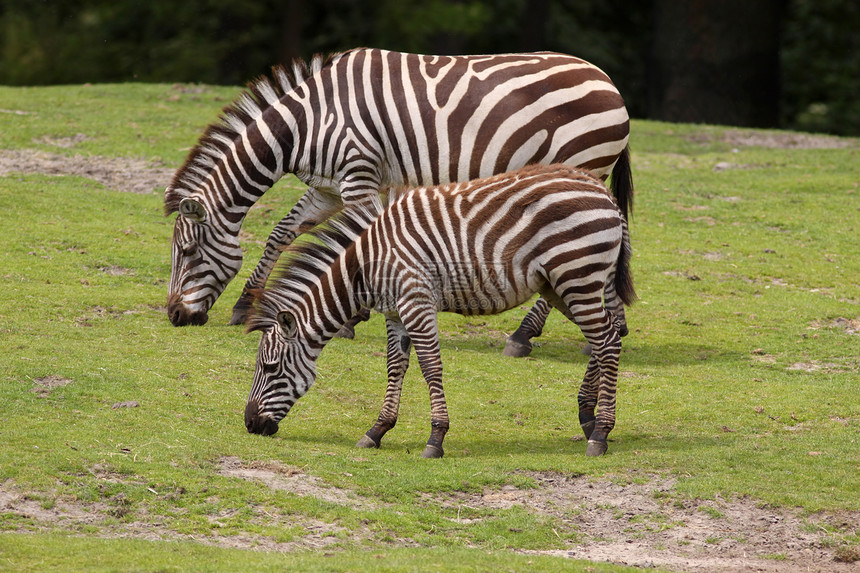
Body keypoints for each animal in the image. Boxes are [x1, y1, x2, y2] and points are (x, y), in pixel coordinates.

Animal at [165, 48, 632, 358]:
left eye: (187, 252)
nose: (174, 316)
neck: (304, 125)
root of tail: (608, 80)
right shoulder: (328, 187)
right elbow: (281, 232)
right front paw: (245, 303)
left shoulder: (358, 177)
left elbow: (360, 245)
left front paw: (351, 319)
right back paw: (611, 325)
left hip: (578, 166)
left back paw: (522, 336)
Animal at [245, 164, 636, 456]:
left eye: (270, 367)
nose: (249, 424)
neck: (368, 266)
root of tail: (602, 191)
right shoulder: (395, 312)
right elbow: (395, 367)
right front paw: (377, 429)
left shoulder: (415, 301)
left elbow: (430, 367)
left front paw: (436, 438)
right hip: (562, 287)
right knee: (608, 335)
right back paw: (587, 415)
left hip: (576, 276)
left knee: (607, 342)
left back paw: (600, 433)